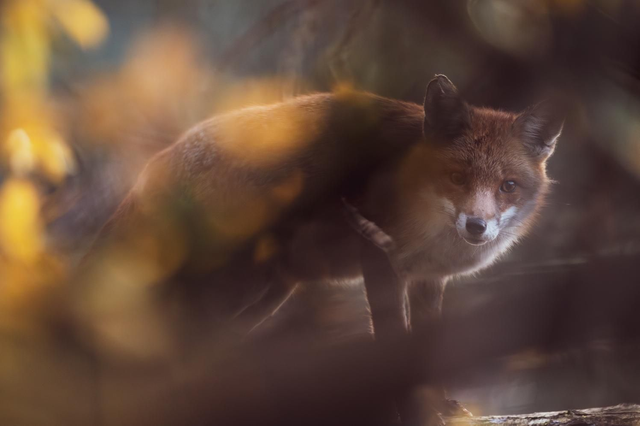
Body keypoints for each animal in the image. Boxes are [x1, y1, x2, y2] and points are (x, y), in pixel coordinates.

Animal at [74, 75, 563, 425]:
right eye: (458, 177)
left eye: (508, 186)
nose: (476, 226)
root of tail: (150, 170)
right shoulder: (380, 257)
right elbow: (393, 343)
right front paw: (411, 411)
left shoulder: (429, 279)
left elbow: (424, 350)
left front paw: (438, 406)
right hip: (227, 289)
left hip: (263, 296)